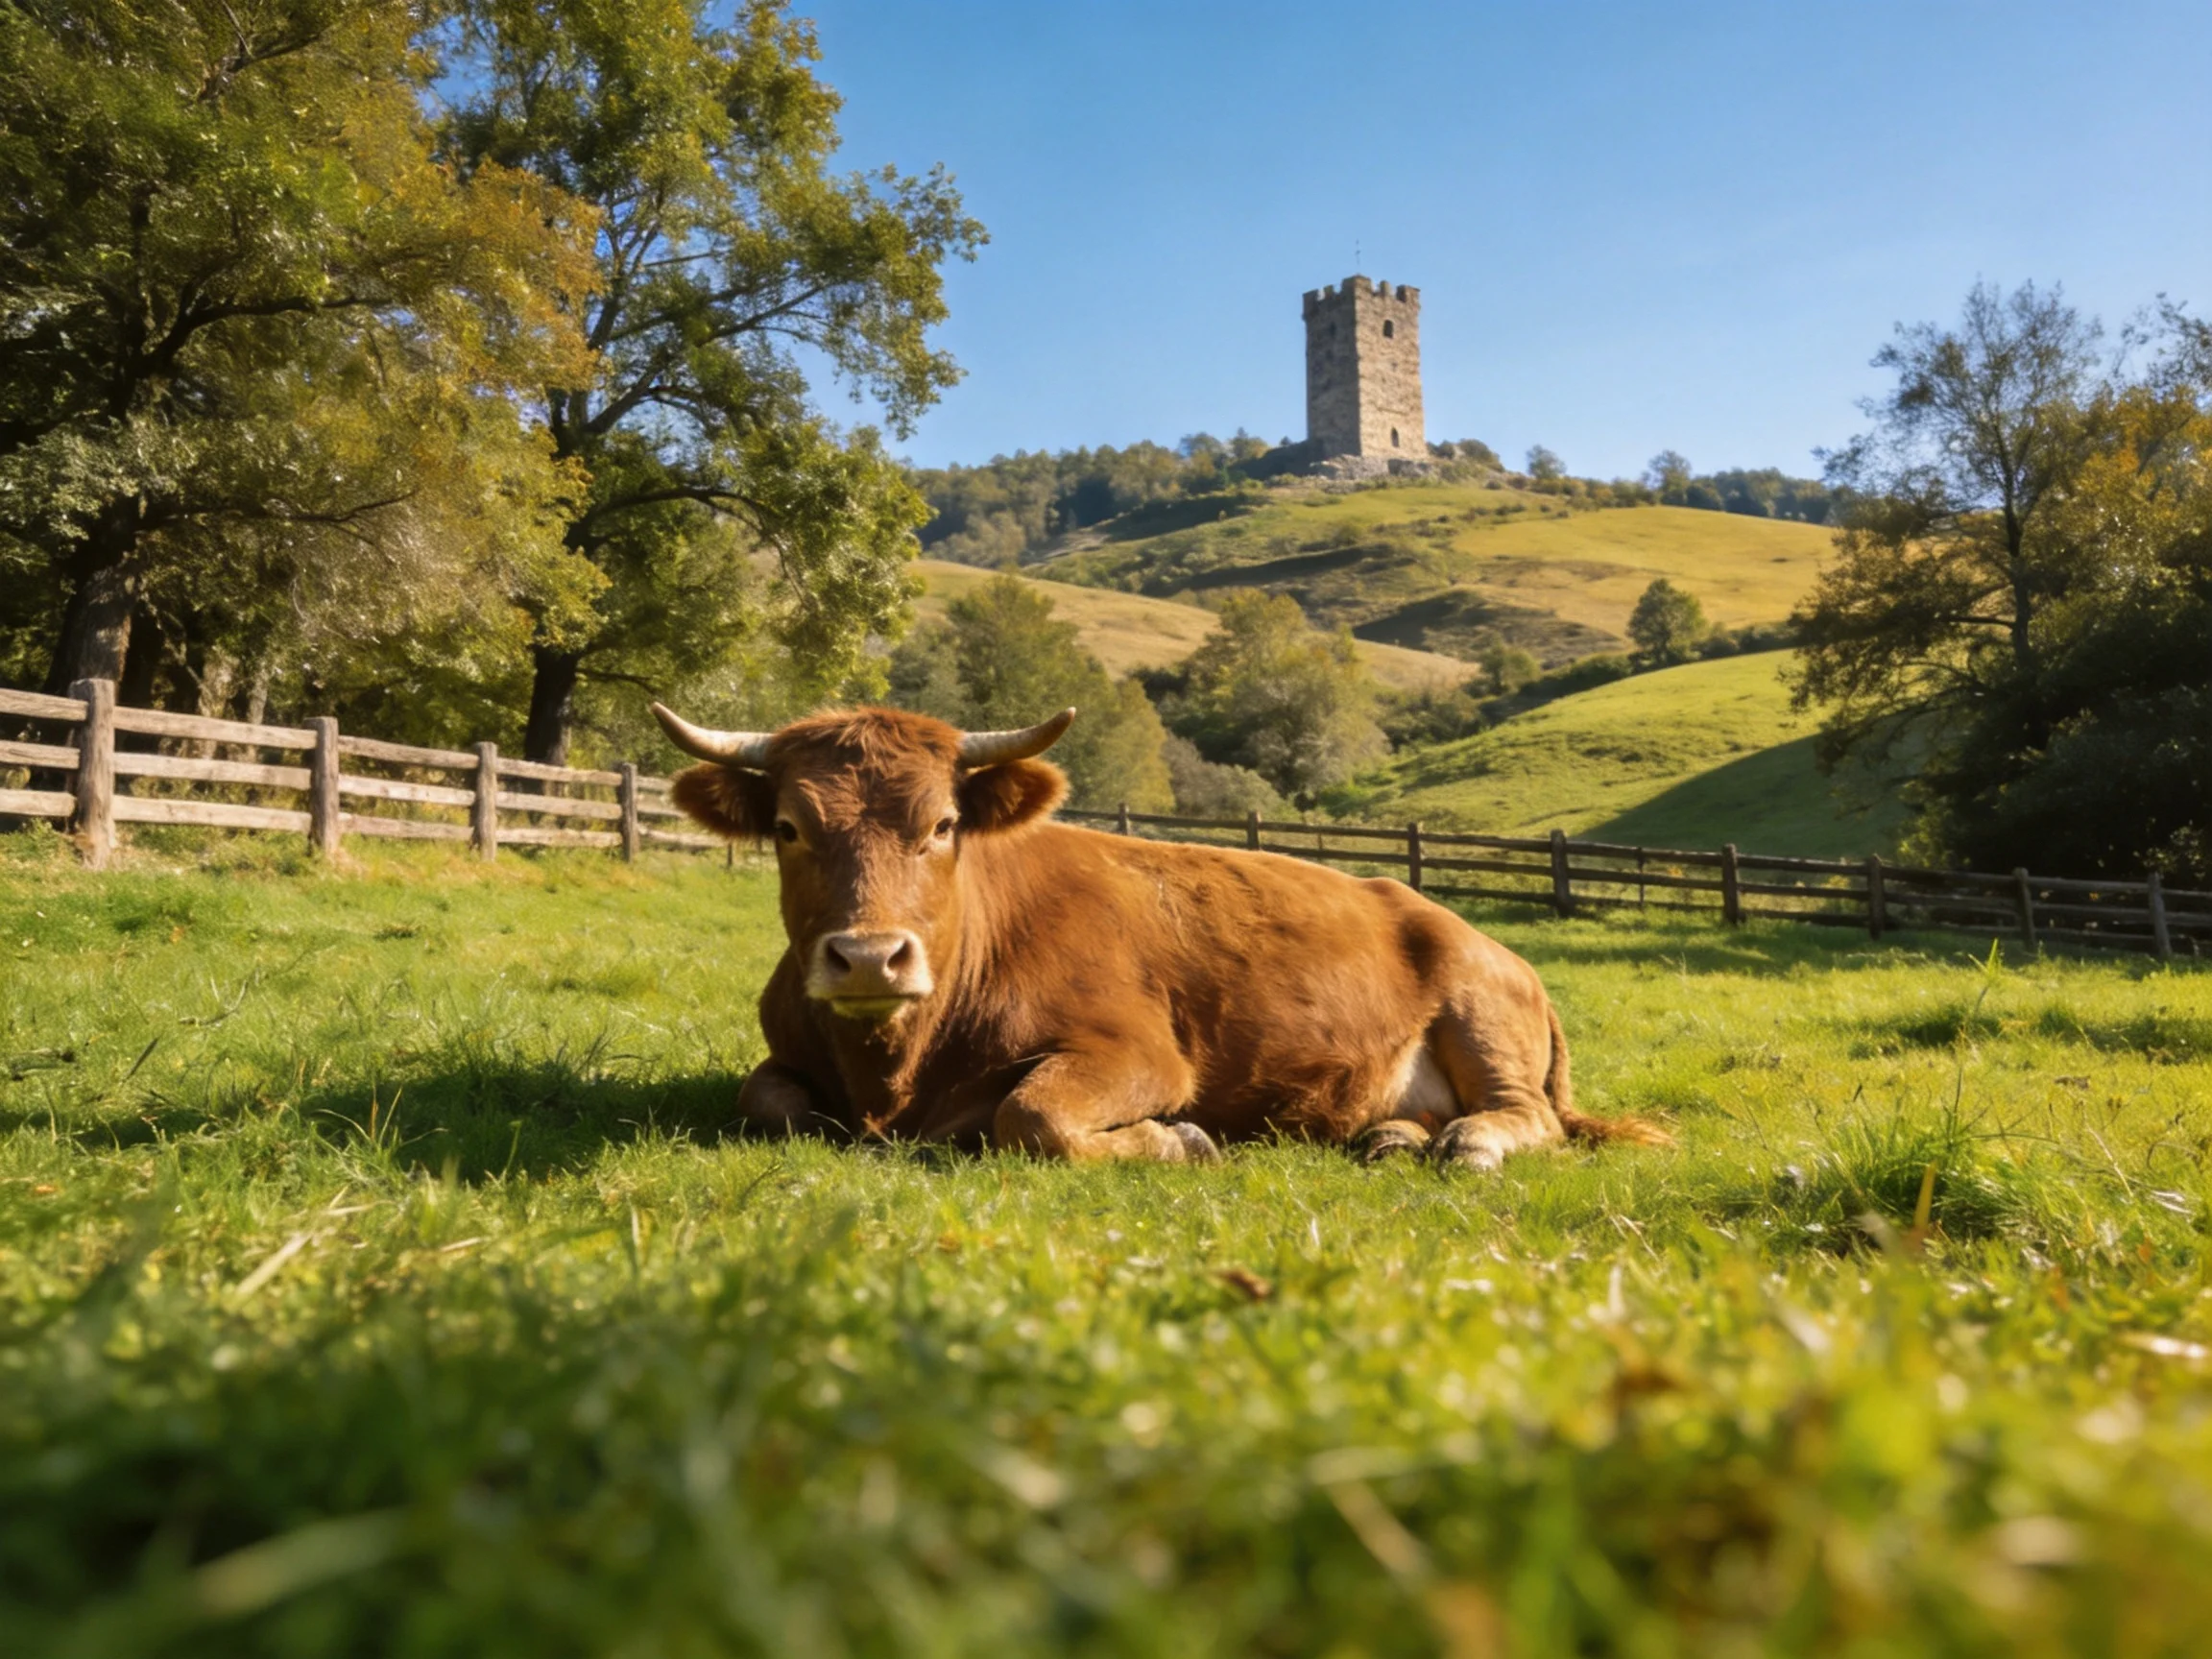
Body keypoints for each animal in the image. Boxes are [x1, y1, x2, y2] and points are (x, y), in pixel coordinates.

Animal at [653, 701, 1668, 1166]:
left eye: (941, 825)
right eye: (789, 829)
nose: (869, 956)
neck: (895, 1075)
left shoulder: (1138, 1052)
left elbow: (1033, 1115)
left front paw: (1179, 1140)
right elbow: (768, 1100)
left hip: (1479, 1012)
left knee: (1530, 1116)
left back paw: (1468, 1143)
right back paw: (1391, 1137)